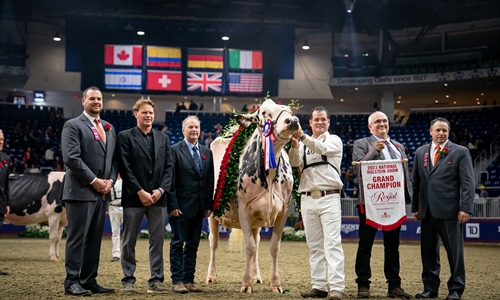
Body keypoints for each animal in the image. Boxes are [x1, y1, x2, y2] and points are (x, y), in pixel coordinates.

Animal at [206, 99, 300, 292]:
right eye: (264, 112)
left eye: (288, 110)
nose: (292, 121)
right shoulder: (243, 208)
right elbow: (248, 246)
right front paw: (245, 283)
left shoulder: (283, 209)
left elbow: (273, 247)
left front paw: (275, 284)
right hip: (212, 214)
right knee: (214, 242)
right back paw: (211, 276)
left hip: (256, 220)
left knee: (257, 242)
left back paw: (256, 276)